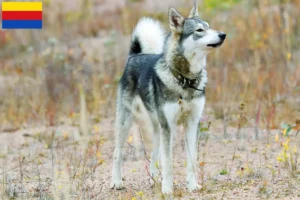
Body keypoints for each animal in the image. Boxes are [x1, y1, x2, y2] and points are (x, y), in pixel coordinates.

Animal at [111, 1, 226, 195]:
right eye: (199, 30)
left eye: (209, 27)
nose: (223, 35)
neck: (185, 81)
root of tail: (135, 55)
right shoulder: (169, 126)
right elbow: (168, 162)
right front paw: (167, 189)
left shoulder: (192, 123)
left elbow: (191, 160)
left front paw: (192, 186)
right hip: (126, 122)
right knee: (117, 153)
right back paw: (117, 182)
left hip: (157, 126)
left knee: (154, 153)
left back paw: (154, 178)